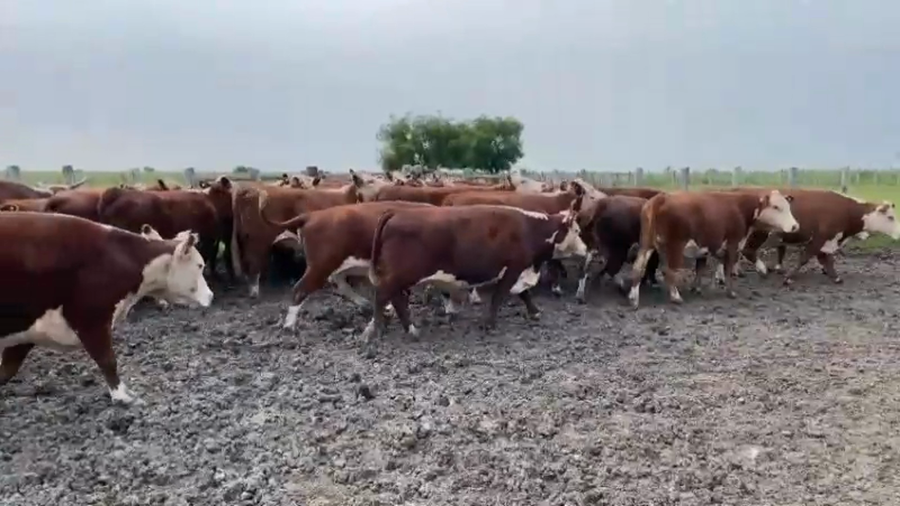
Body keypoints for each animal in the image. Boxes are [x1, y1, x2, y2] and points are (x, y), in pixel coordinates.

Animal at [0, 213, 212, 404]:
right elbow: (107, 360)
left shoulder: (25, 331)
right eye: (200, 265)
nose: (211, 296)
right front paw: (122, 395)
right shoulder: (90, 319)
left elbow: (7, 370)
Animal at [362, 201, 589, 352]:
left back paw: (409, 329)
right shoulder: (512, 269)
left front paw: (534, 312)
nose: (586, 249)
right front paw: (489, 323)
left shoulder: (517, 271)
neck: (529, 229)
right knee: (383, 296)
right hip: (399, 275)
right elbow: (499, 296)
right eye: (577, 231)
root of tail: (396, 212)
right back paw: (374, 330)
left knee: (395, 299)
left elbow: (524, 294)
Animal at [627, 189, 800, 308]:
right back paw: (676, 297)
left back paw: (633, 298)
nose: (794, 226)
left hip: (647, 245)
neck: (740, 208)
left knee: (638, 267)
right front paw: (730, 292)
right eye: (776, 207)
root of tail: (661, 198)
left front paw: (697, 288)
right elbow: (728, 269)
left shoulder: (706, 248)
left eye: (788, 206)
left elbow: (701, 268)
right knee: (669, 270)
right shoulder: (732, 244)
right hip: (675, 246)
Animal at [736, 189, 900, 285]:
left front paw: (834, 276)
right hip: (759, 234)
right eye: (890, 217)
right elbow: (805, 258)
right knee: (747, 251)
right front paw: (789, 278)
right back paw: (762, 270)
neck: (846, 211)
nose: (899, 233)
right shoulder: (819, 239)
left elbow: (827, 259)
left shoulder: (828, 241)